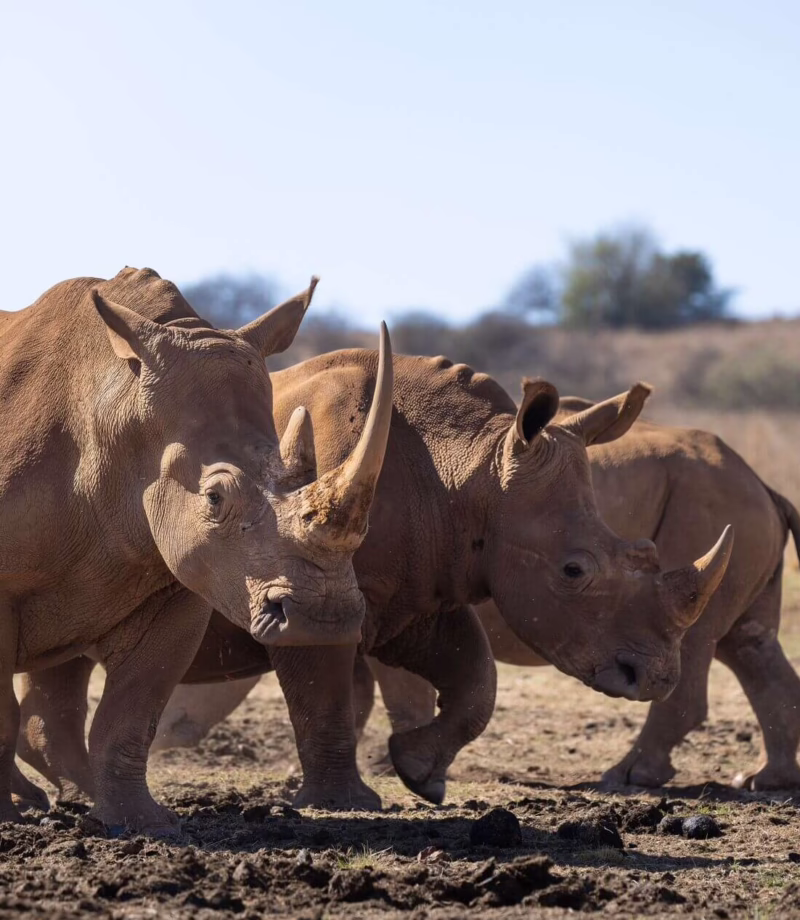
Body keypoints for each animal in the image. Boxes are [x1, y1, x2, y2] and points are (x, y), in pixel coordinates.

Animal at [0, 268, 393, 833]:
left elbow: (133, 710)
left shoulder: (182, 579)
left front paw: (139, 823)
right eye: (213, 498)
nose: (324, 619)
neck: (117, 412)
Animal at [15, 353, 733, 812]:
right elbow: (326, 690)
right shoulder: (305, 593)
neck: (468, 470)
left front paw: (421, 775)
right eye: (574, 571)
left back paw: (64, 795)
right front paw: (349, 803)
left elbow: (477, 681)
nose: (654, 676)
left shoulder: (416, 593)